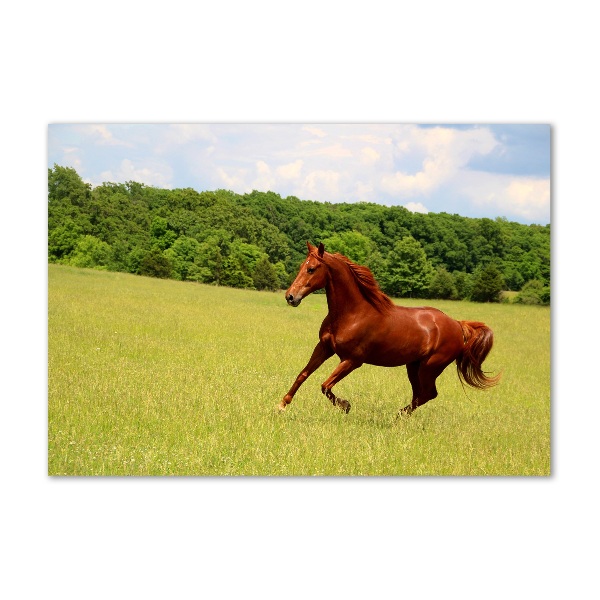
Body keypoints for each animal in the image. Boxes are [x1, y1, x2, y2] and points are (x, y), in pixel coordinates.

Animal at [278, 241, 500, 414]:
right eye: (301, 266)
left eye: (312, 269)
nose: (290, 297)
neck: (352, 314)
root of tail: (457, 325)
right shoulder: (324, 348)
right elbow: (303, 375)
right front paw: (282, 405)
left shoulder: (352, 360)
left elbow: (325, 385)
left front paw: (346, 405)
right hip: (414, 366)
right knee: (421, 395)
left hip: (430, 367)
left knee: (428, 394)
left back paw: (396, 417)